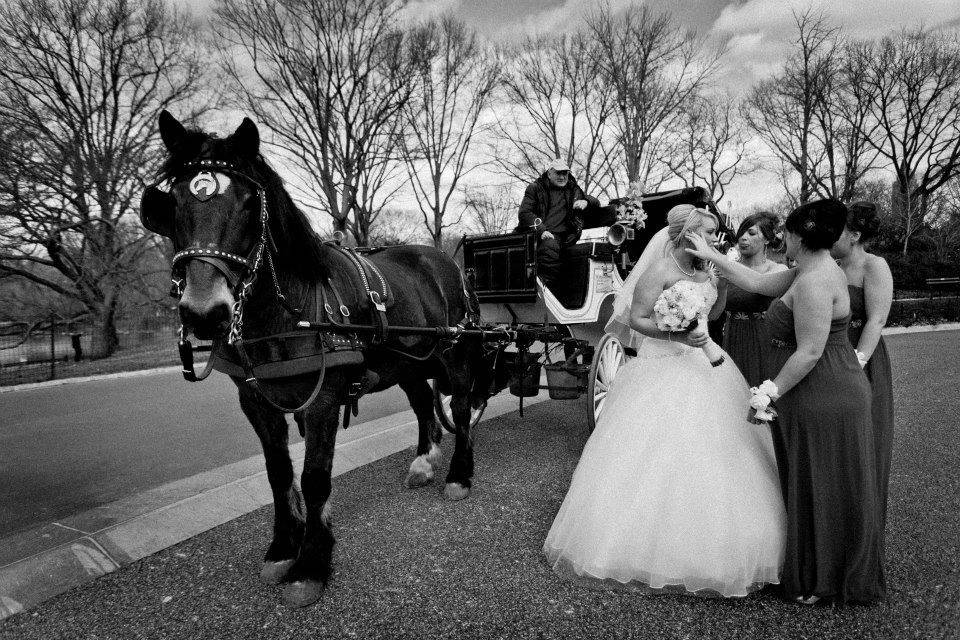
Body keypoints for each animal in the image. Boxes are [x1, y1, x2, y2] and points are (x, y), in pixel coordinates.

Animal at [137, 112, 488, 608]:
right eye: (174, 203)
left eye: (249, 203)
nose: (205, 313)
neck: (289, 312)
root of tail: (446, 260)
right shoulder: (255, 401)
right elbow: (280, 473)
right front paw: (284, 546)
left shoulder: (324, 397)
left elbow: (315, 477)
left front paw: (311, 564)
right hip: (407, 362)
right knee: (423, 404)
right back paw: (422, 461)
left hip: (454, 352)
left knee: (458, 407)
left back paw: (459, 474)